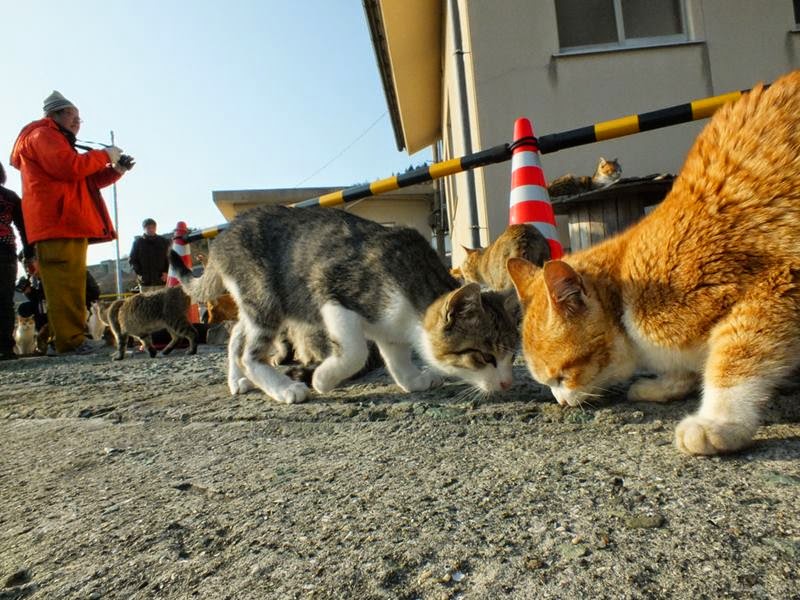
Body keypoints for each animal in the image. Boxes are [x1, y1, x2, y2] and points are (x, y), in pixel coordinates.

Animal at [506, 70, 800, 454]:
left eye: (562, 376)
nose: (562, 402)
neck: (625, 305)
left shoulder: (778, 283)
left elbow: (738, 356)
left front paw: (719, 421)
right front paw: (666, 384)